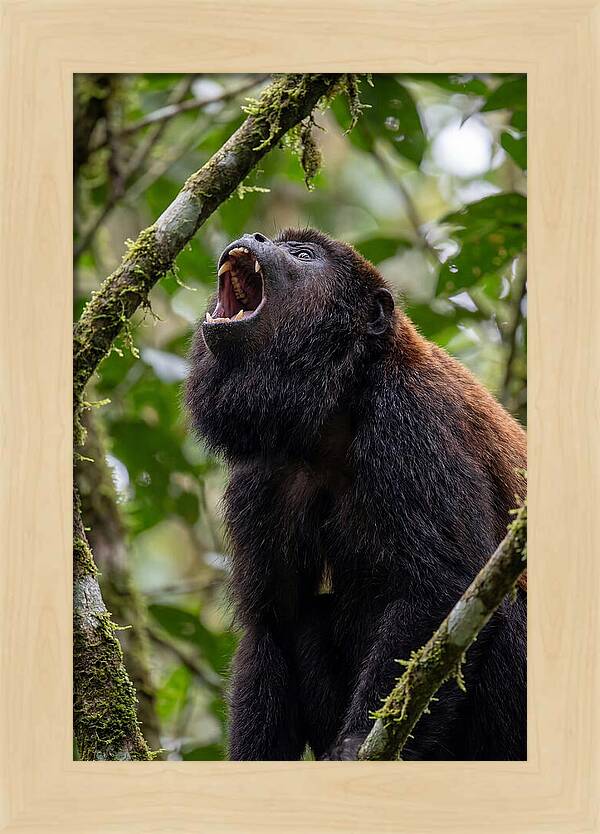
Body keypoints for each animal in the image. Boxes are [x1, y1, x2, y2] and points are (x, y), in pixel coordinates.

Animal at [185, 228, 527, 761]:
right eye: (276, 240)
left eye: (304, 255)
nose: (255, 235)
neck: (339, 405)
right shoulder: (263, 472)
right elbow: (272, 623)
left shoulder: (411, 418)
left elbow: (445, 585)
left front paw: (352, 746)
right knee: (306, 617)